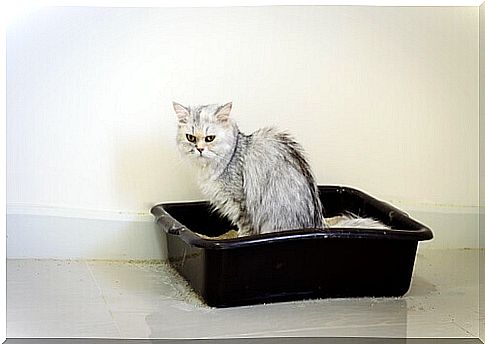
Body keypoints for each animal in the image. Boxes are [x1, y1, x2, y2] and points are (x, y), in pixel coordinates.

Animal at [174, 102, 386, 236]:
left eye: (210, 138)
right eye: (190, 138)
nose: (199, 149)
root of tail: (317, 225)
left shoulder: (240, 205)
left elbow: (245, 231)